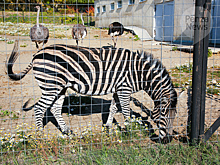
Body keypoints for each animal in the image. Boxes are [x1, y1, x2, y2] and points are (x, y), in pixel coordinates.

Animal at [6, 40, 177, 143]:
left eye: (174, 116)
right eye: (164, 115)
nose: (167, 141)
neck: (139, 73)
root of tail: (37, 54)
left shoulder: (118, 89)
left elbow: (113, 108)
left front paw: (108, 128)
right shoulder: (124, 89)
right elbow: (126, 111)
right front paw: (128, 131)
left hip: (60, 87)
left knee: (54, 108)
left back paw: (67, 131)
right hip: (51, 85)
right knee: (39, 108)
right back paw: (41, 136)